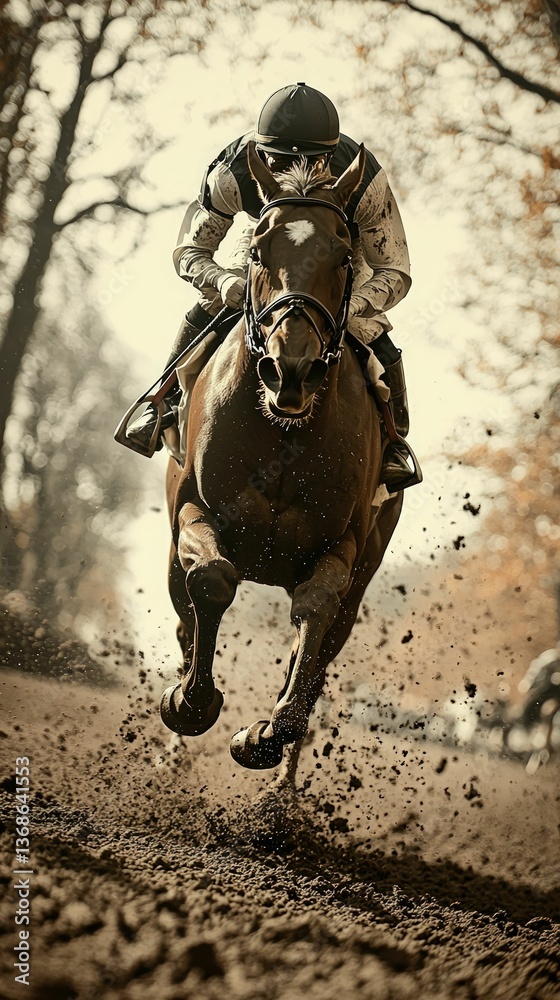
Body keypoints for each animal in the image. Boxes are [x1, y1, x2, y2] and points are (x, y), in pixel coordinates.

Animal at [159, 141, 404, 770]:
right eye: (258, 249)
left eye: (343, 257)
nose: (291, 368)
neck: (283, 433)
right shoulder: (195, 510)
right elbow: (212, 579)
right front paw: (190, 704)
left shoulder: (342, 543)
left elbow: (315, 610)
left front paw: (267, 734)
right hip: (172, 556)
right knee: (187, 614)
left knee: (320, 652)